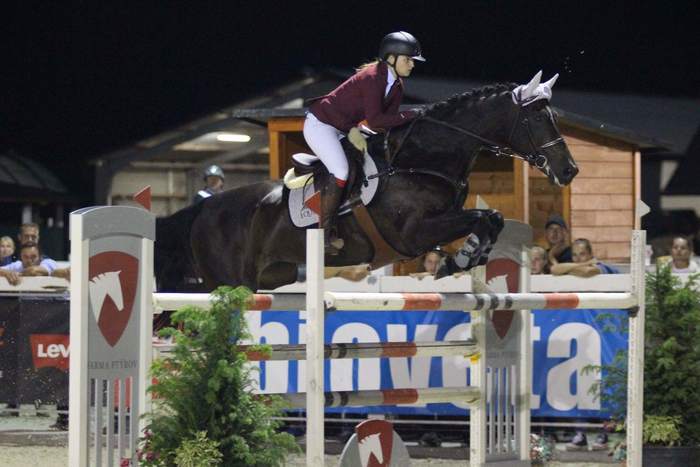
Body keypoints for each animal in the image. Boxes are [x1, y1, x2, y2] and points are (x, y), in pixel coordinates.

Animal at [155, 71, 578, 292]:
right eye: (537, 118)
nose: (570, 170)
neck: (420, 159)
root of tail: (204, 208)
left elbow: (492, 219)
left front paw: (462, 258)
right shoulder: (412, 233)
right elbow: (483, 217)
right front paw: (457, 260)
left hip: (272, 275)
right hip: (226, 282)